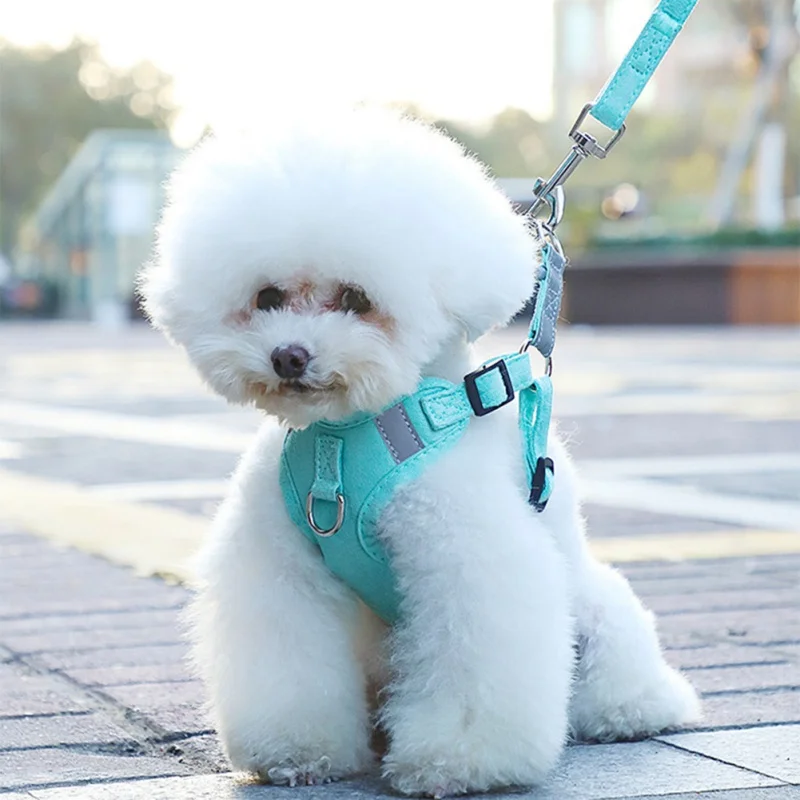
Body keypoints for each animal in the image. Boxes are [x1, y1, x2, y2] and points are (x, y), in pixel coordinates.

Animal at [142, 109, 700, 796]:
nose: (288, 356)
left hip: (593, 616)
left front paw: (457, 761)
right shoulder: (279, 570)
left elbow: (471, 660)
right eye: (267, 297)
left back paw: (638, 709)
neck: (343, 436)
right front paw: (299, 751)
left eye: (355, 299)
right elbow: (291, 663)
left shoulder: (465, 558)